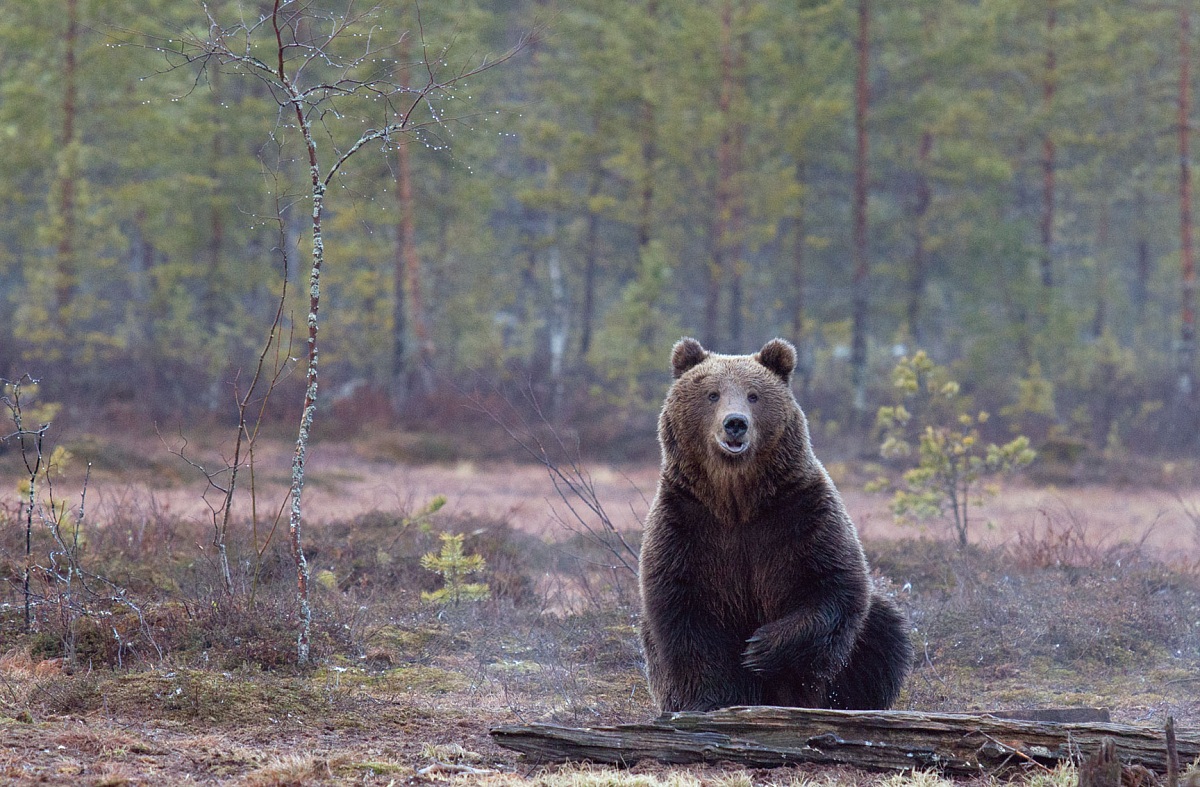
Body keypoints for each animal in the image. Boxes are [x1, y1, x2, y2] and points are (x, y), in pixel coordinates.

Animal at [638, 337, 912, 713]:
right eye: (712, 394)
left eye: (753, 395)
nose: (735, 423)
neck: (736, 502)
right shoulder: (685, 523)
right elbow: (684, 611)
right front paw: (710, 700)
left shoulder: (801, 513)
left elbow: (833, 583)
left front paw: (760, 647)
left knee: (882, 634)